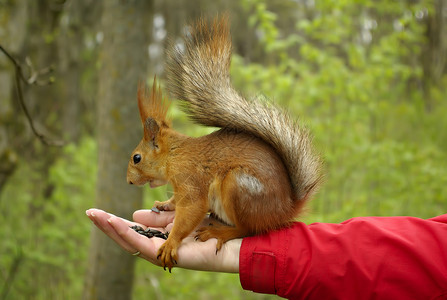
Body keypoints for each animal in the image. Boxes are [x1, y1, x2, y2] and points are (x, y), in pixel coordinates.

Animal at [126, 15, 322, 272]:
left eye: (136, 158)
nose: (129, 181)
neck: (174, 155)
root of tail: (284, 210)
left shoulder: (190, 180)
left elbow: (191, 210)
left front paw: (170, 244)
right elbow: (176, 201)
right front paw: (165, 204)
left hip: (237, 185)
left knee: (247, 229)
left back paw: (218, 232)